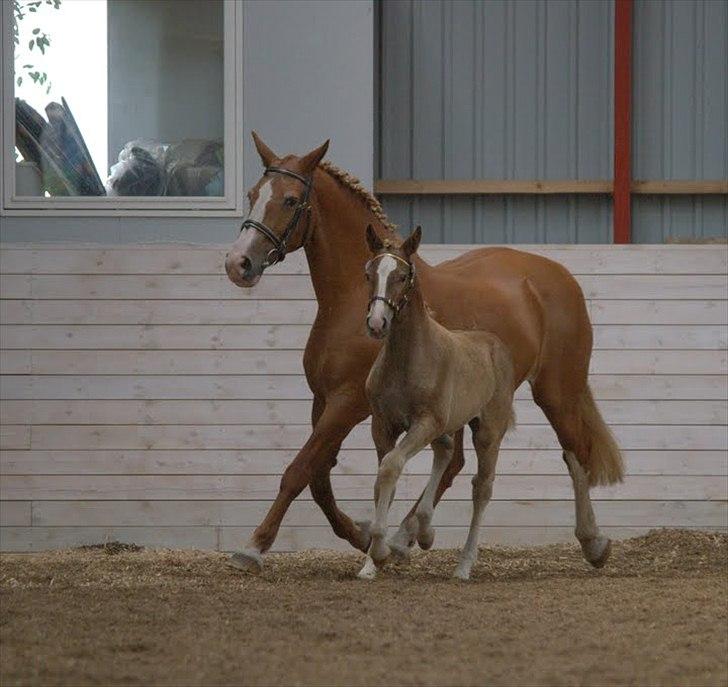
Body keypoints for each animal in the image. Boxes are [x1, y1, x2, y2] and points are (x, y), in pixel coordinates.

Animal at [225, 134, 624, 576]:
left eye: (291, 200)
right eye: (253, 194)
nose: (238, 263)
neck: (350, 300)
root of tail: (558, 276)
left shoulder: (346, 404)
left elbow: (299, 471)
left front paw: (253, 546)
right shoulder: (324, 400)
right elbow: (319, 479)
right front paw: (364, 536)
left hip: (556, 392)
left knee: (576, 453)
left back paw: (593, 541)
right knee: (455, 462)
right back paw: (405, 537)